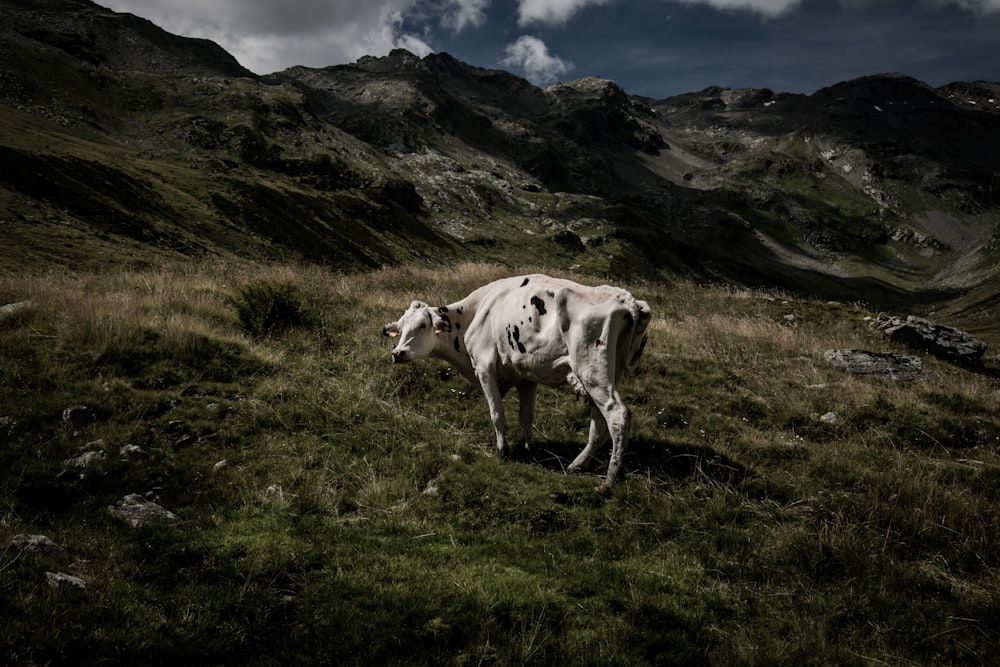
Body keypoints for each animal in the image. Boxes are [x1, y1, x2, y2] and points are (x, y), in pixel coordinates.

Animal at [378, 274, 652, 494]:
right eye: (400, 327)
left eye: (422, 325)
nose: (398, 353)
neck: (476, 313)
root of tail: (626, 298)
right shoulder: (526, 378)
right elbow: (526, 416)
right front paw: (530, 447)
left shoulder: (484, 368)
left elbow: (497, 413)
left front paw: (502, 450)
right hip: (605, 374)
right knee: (600, 422)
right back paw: (577, 464)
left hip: (592, 370)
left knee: (617, 415)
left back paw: (609, 480)